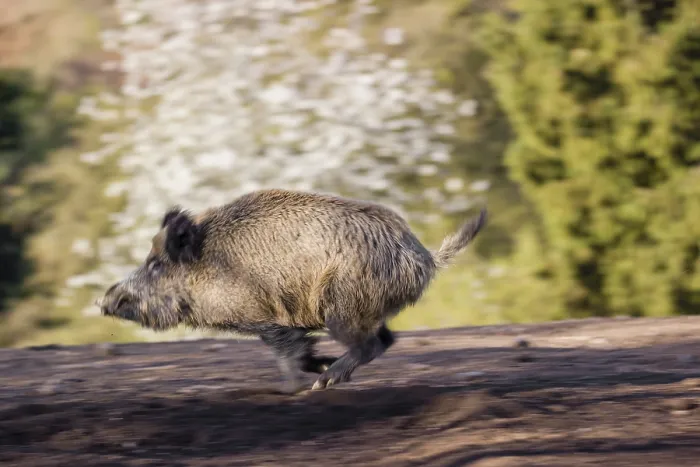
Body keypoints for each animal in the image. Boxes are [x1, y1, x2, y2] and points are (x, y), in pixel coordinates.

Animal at [98, 188, 487, 393]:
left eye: (155, 265)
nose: (104, 299)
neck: (212, 265)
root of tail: (424, 257)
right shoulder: (283, 323)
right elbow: (303, 349)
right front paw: (313, 367)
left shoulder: (268, 319)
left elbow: (287, 352)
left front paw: (290, 388)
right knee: (387, 339)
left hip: (342, 307)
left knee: (371, 343)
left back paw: (326, 382)